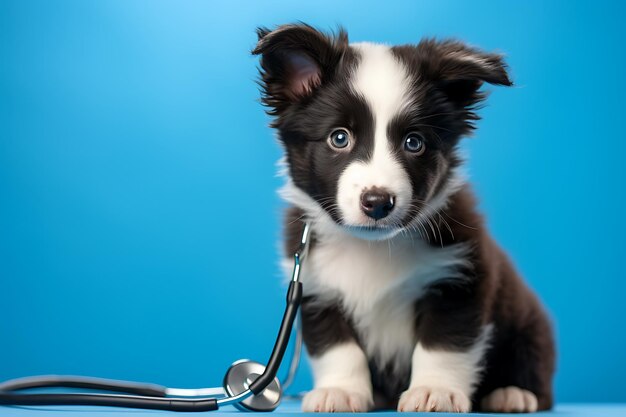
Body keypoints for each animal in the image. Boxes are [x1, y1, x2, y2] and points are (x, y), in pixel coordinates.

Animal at [251, 24, 552, 412]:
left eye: (414, 143)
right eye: (339, 138)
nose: (378, 202)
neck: (373, 247)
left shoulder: (460, 279)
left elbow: (444, 344)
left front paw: (435, 390)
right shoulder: (318, 290)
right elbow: (337, 347)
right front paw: (341, 390)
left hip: (529, 325)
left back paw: (512, 393)